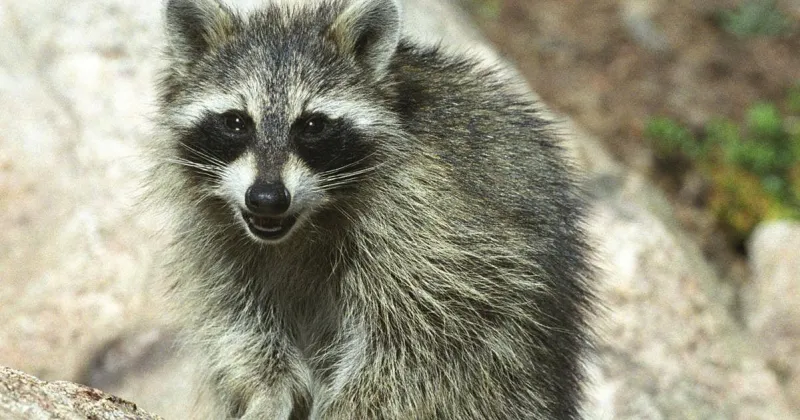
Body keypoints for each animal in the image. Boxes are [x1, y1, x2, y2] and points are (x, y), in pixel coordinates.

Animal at [150, 0, 596, 418]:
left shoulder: (434, 228)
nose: (267, 199)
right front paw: (268, 388)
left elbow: (422, 345)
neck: (306, 223)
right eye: (236, 122)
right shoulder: (217, 234)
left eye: (312, 126)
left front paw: (344, 407)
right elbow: (236, 316)